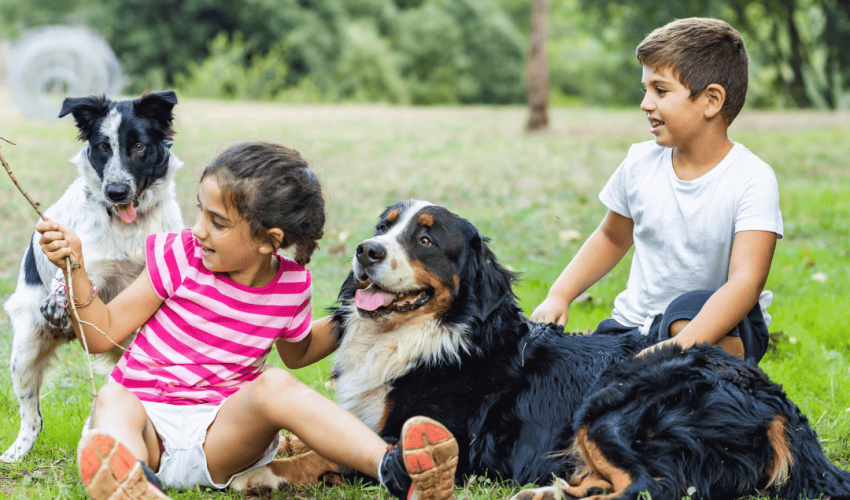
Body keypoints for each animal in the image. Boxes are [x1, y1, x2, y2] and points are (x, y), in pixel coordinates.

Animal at [230, 200, 848, 500]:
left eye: (425, 239)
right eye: (383, 227)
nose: (366, 250)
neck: (426, 335)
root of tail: (775, 402)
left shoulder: (437, 439)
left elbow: (329, 453)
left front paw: (264, 475)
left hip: (611, 407)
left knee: (654, 488)